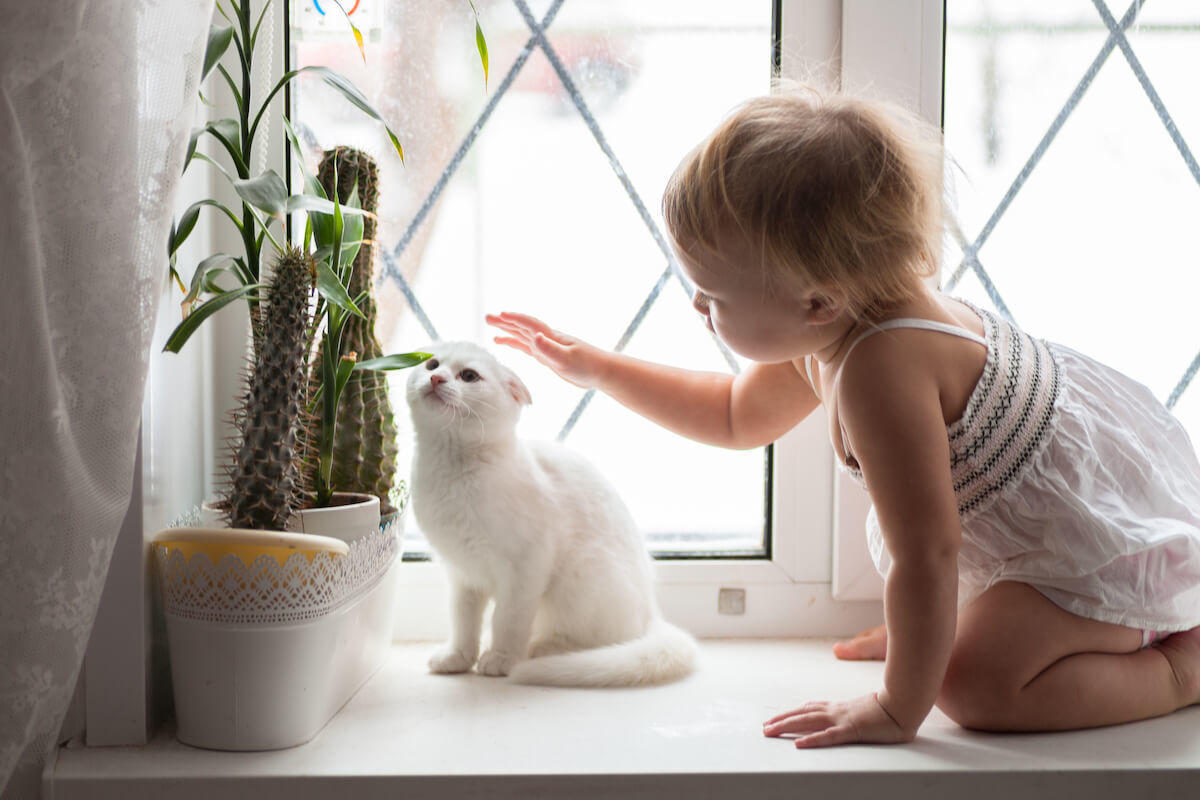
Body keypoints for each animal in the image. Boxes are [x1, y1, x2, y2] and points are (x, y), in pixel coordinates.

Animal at [408, 340, 700, 686]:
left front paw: (502, 658)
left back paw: (541, 650)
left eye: (469, 375)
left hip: (581, 574)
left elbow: (507, 620)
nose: (436, 378)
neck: (452, 473)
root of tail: (651, 612)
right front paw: (458, 657)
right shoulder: (462, 574)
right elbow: (464, 622)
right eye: (431, 364)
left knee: (600, 640)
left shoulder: (525, 567)